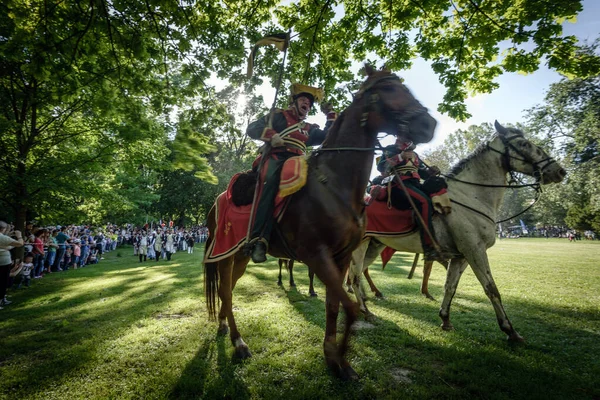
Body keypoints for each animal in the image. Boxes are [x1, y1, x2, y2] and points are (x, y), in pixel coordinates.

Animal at [205, 66, 436, 382]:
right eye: (387, 90)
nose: (429, 124)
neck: (336, 186)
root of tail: (217, 199)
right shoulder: (317, 255)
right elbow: (350, 308)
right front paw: (341, 359)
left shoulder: (341, 257)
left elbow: (334, 306)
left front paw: (332, 357)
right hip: (226, 254)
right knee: (226, 292)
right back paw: (239, 342)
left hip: (240, 257)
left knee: (225, 291)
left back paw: (224, 326)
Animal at [350, 122, 564, 340]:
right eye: (523, 144)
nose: (559, 171)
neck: (471, 196)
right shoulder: (474, 250)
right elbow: (491, 288)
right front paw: (509, 330)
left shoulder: (461, 256)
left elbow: (450, 287)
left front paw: (445, 319)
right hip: (359, 246)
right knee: (355, 276)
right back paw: (366, 311)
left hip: (373, 245)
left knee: (355, 274)